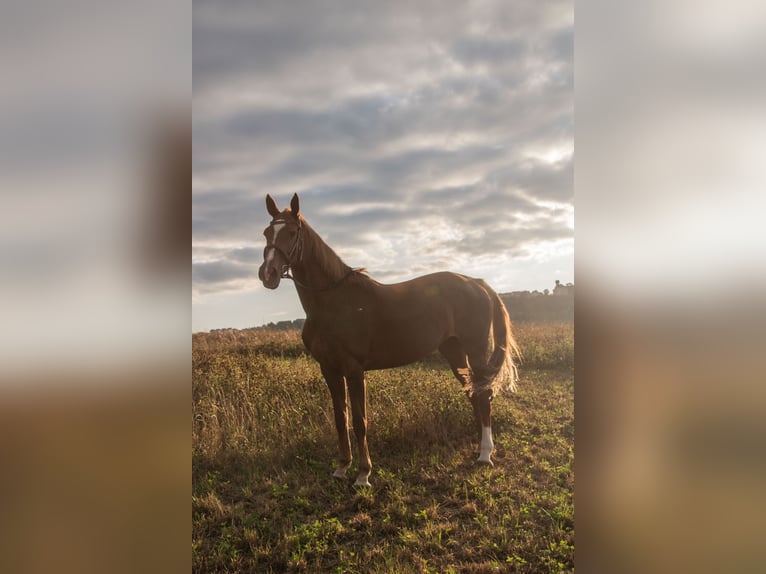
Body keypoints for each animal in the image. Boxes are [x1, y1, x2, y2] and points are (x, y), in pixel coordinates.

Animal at [258, 194, 520, 486]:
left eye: (292, 232)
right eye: (267, 232)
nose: (268, 273)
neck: (333, 302)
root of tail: (476, 283)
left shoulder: (354, 369)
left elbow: (359, 421)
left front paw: (363, 474)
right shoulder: (329, 369)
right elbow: (340, 418)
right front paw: (341, 468)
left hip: (475, 350)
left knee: (484, 396)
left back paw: (485, 454)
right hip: (454, 352)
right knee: (474, 395)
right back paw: (481, 449)